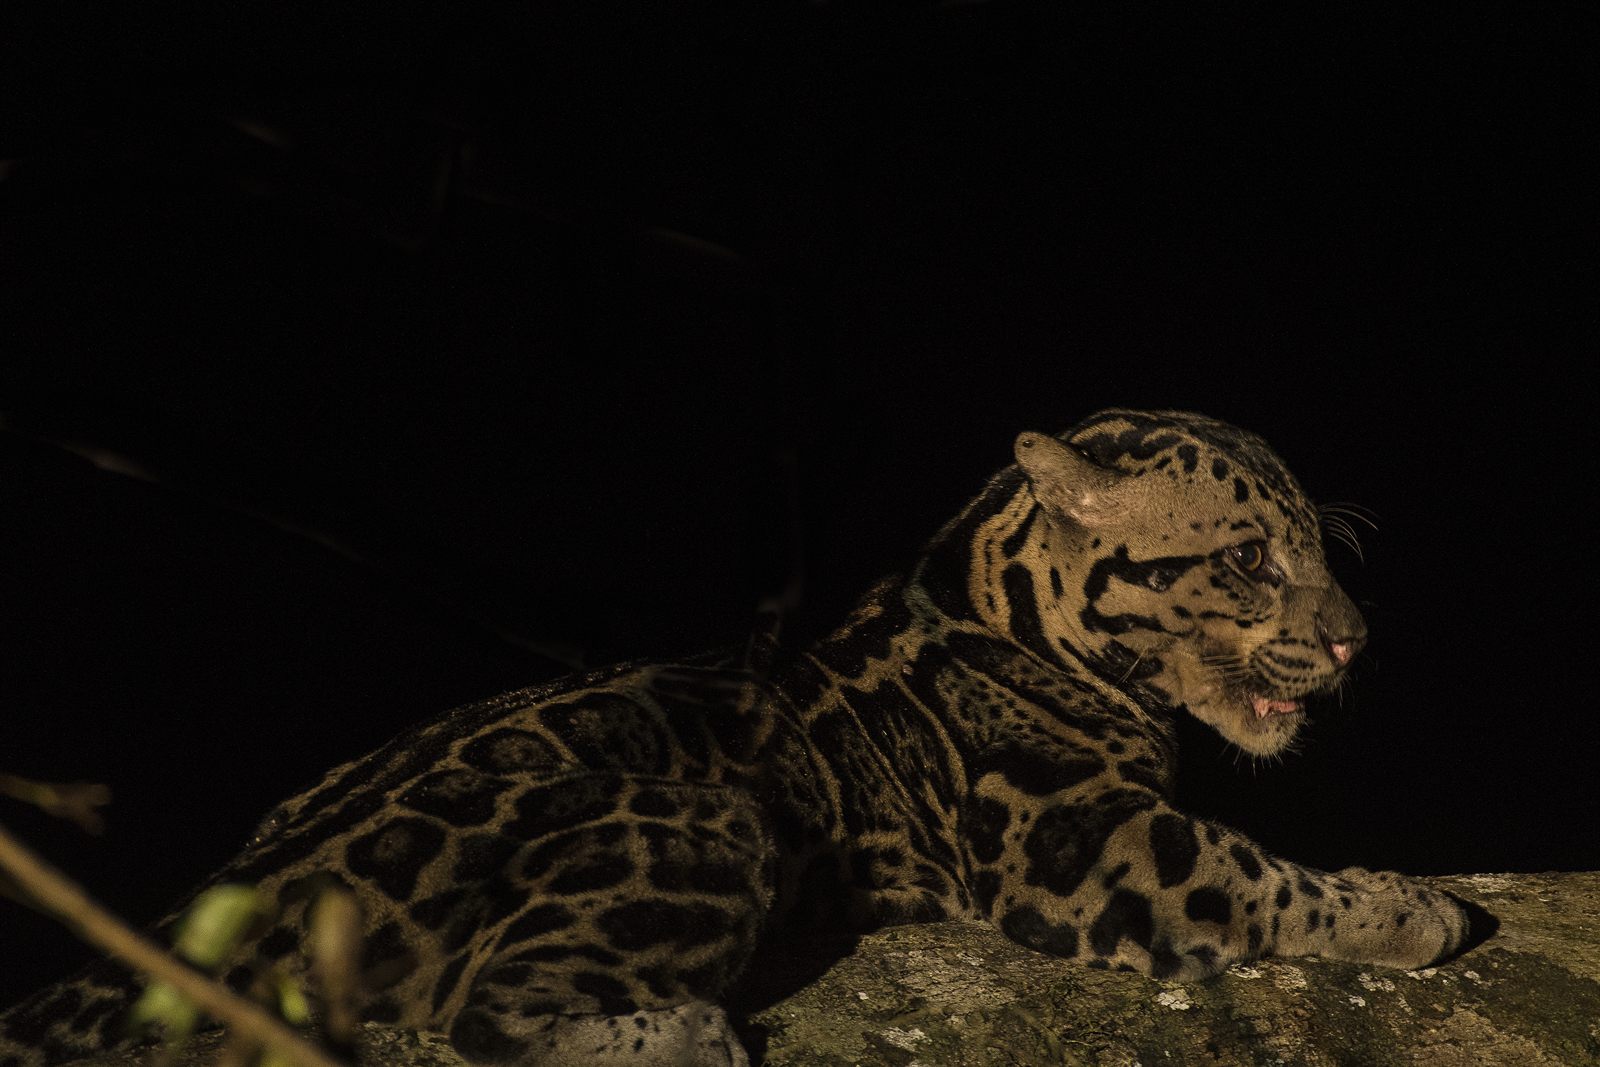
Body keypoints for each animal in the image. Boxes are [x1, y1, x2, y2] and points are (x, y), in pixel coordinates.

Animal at [0, 408, 1479, 1067]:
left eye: (1317, 552)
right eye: (1247, 558)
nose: (1352, 641)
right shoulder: (1081, 845)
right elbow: (1267, 873)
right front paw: (1413, 907)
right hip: (705, 813)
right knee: (484, 1018)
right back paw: (687, 1030)